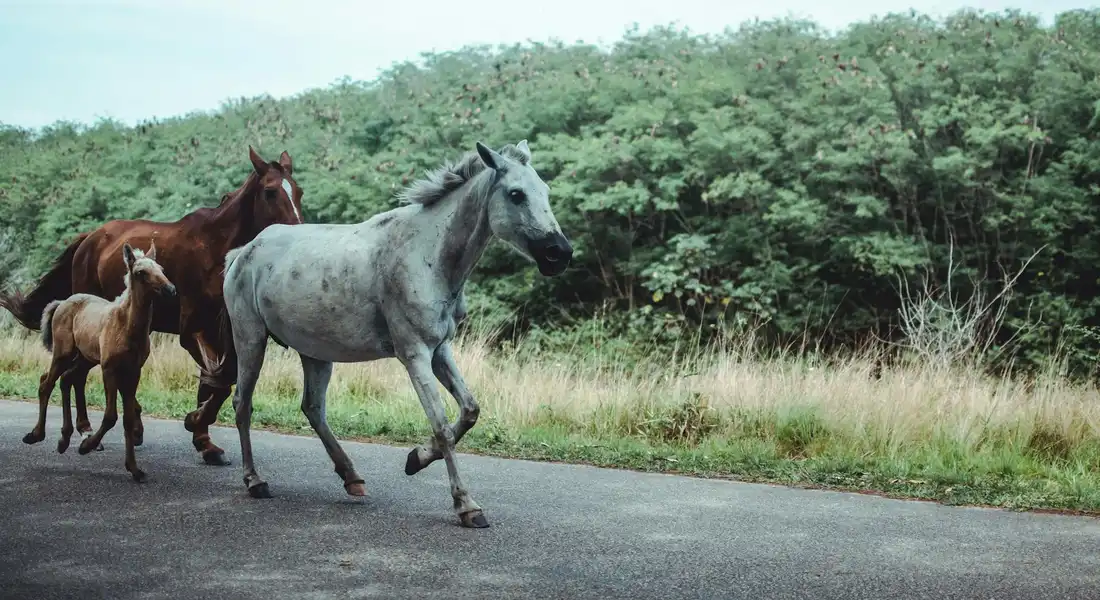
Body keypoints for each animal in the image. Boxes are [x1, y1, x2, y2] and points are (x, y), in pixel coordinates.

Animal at [23, 242, 177, 482]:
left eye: (161, 269)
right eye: (140, 272)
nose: (171, 290)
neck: (128, 328)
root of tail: (61, 303)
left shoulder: (134, 371)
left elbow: (128, 418)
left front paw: (134, 469)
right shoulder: (109, 368)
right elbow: (111, 416)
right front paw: (86, 446)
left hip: (83, 357)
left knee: (65, 379)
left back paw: (64, 439)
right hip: (63, 352)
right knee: (46, 383)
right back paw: (36, 435)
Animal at [210, 139, 572, 528]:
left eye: (545, 190)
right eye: (516, 194)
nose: (560, 253)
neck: (428, 254)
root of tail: (243, 253)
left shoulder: (440, 351)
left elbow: (470, 410)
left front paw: (416, 458)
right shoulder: (414, 354)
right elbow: (443, 426)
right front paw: (467, 505)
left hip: (315, 352)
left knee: (313, 408)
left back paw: (351, 477)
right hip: (250, 339)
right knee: (243, 404)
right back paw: (255, 480)